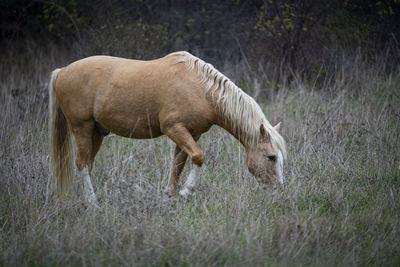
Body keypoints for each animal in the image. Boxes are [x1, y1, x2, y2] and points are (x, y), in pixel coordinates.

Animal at [48, 51, 286, 206]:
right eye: (271, 157)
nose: (278, 189)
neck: (200, 89)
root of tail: (62, 71)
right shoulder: (174, 129)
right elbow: (198, 157)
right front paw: (185, 192)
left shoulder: (192, 133)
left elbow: (178, 165)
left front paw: (171, 196)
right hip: (82, 128)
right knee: (81, 164)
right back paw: (92, 204)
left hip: (97, 132)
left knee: (87, 164)